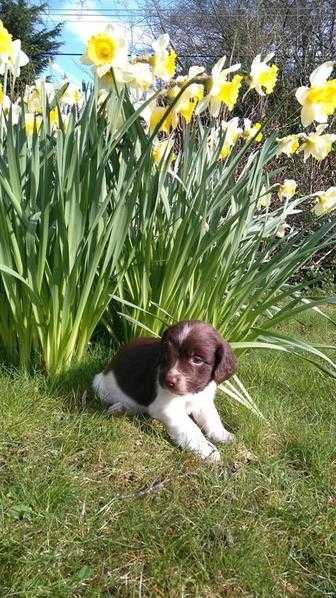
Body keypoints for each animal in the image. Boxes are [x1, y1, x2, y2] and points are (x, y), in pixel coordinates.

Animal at [93, 322, 238, 462]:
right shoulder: (166, 408)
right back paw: (121, 408)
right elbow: (191, 428)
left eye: (196, 360)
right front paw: (207, 450)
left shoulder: (203, 399)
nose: (168, 381)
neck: (193, 391)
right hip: (100, 386)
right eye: (167, 355)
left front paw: (222, 435)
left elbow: (212, 417)